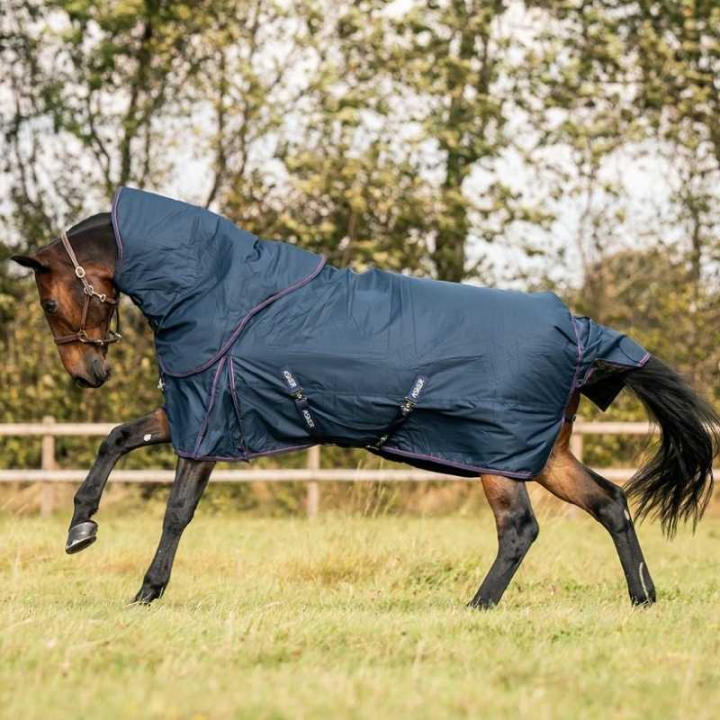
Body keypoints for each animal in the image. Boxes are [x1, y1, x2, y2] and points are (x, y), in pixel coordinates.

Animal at [11, 193, 719, 607]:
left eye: (48, 301)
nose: (90, 374)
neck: (216, 290)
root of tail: (580, 335)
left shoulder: (208, 422)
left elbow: (177, 512)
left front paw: (147, 591)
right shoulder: (189, 412)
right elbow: (116, 439)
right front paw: (81, 527)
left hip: (499, 458)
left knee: (520, 528)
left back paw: (476, 606)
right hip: (543, 455)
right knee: (610, 503)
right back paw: (643, 597)